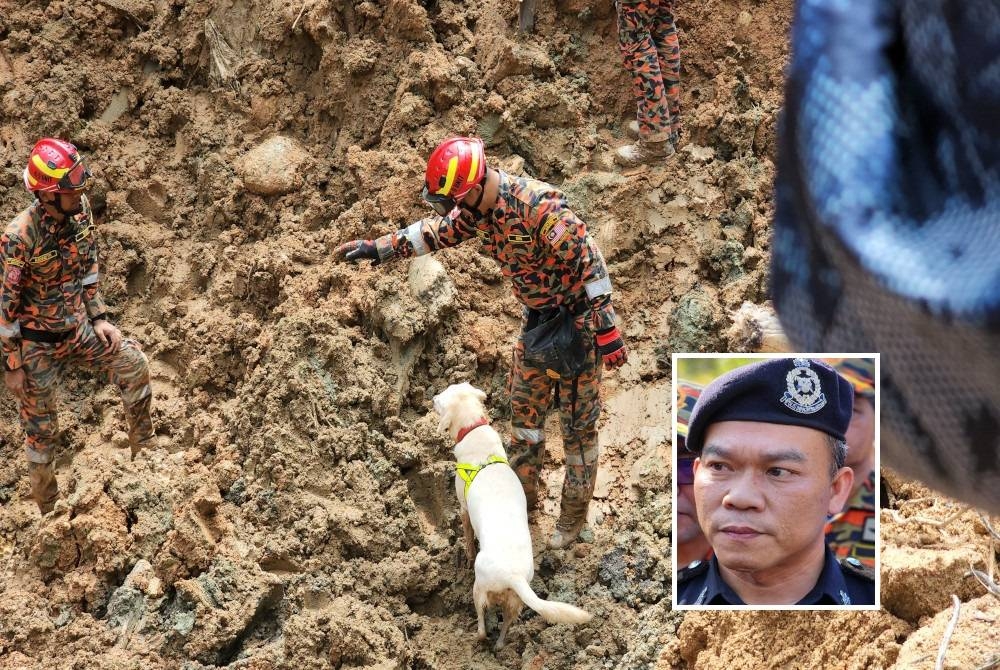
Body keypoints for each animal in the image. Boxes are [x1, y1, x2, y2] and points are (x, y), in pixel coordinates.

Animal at [432, 384, 592, 652]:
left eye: (441, 398)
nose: (432, 396)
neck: (474, 430)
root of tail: (513, 576)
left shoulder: (463, 508)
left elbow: (468, 539)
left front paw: (466, 555)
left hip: (480, 588)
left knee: (482, 624)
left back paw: (479, 637)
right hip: (514, 601)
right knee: (507, 623)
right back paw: (499, 645)